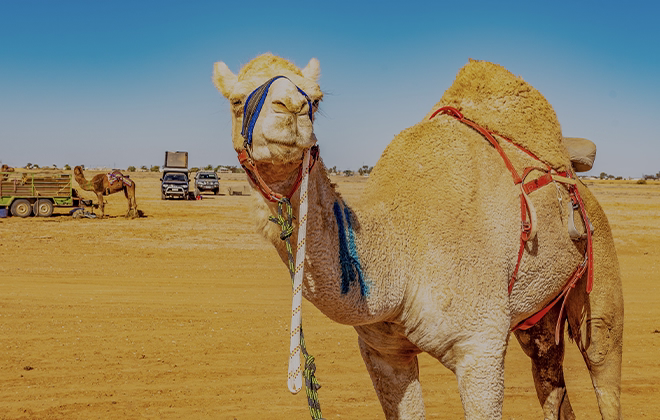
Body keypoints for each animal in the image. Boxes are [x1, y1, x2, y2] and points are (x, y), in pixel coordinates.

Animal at [212, 54, 623, 419]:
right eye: (236, 100)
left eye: (316, 98)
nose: (291, 108)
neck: (401, 254)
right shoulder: (383, 351)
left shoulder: (481, 348)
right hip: (539, 314)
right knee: (548, 366)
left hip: (600, 273)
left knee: (603, 364)